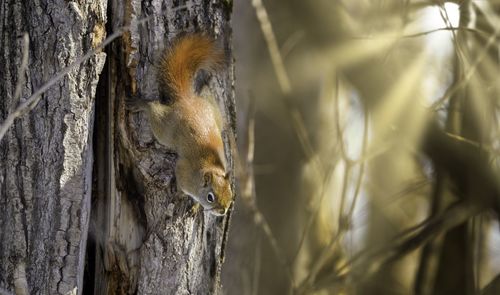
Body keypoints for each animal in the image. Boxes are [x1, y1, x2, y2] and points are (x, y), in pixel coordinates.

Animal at [127, 34, 232, 217]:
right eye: (210, 197)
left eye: (231, 194)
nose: (222, 211)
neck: (211, 168)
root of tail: (186, 100)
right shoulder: (183, 172)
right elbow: (181, 186)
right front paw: (182, 196)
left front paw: (196, 206)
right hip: (165, 129)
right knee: (153, 108)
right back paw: (141, 104)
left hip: (214, 112)